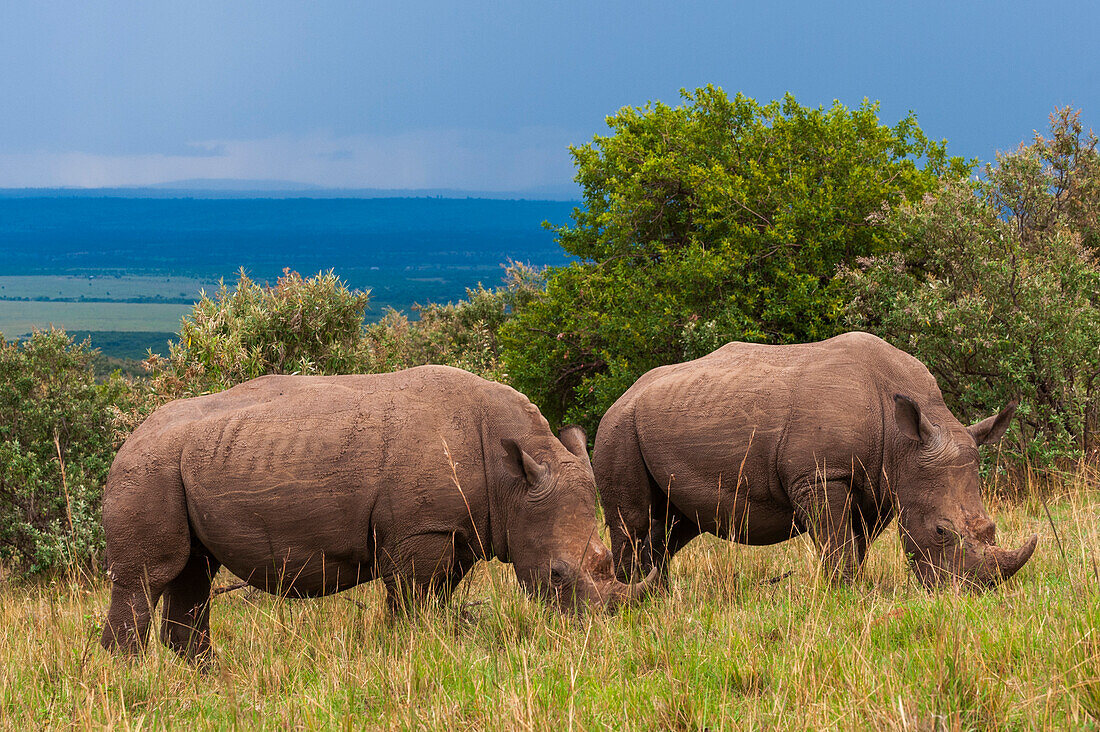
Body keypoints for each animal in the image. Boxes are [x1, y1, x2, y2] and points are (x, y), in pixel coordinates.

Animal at [101, 365, 651, 656]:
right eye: (556, 575)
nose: (596, 634)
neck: (512, 480)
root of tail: (128, 439)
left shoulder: (454, 531)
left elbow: (434, 598)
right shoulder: (420, 532)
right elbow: (410, 602)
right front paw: (412, 651)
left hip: (183, 464)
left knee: (192, 572)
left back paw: (202, 678)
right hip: (146, 470)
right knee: (148, 577)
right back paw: (130, 676)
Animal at [598, 330, 1034, 590]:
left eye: (992, 527)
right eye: (942, 531)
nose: (974, 592)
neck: (904, 444)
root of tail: (625, 393)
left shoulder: (879, 484)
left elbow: (855, 542)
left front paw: (854, 588)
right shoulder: (821, 474)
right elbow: (837, 541)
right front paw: (844, 593)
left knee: (674, 525)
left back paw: (660, 595)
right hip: (619, 429)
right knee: (633, 520)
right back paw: (636, 602)